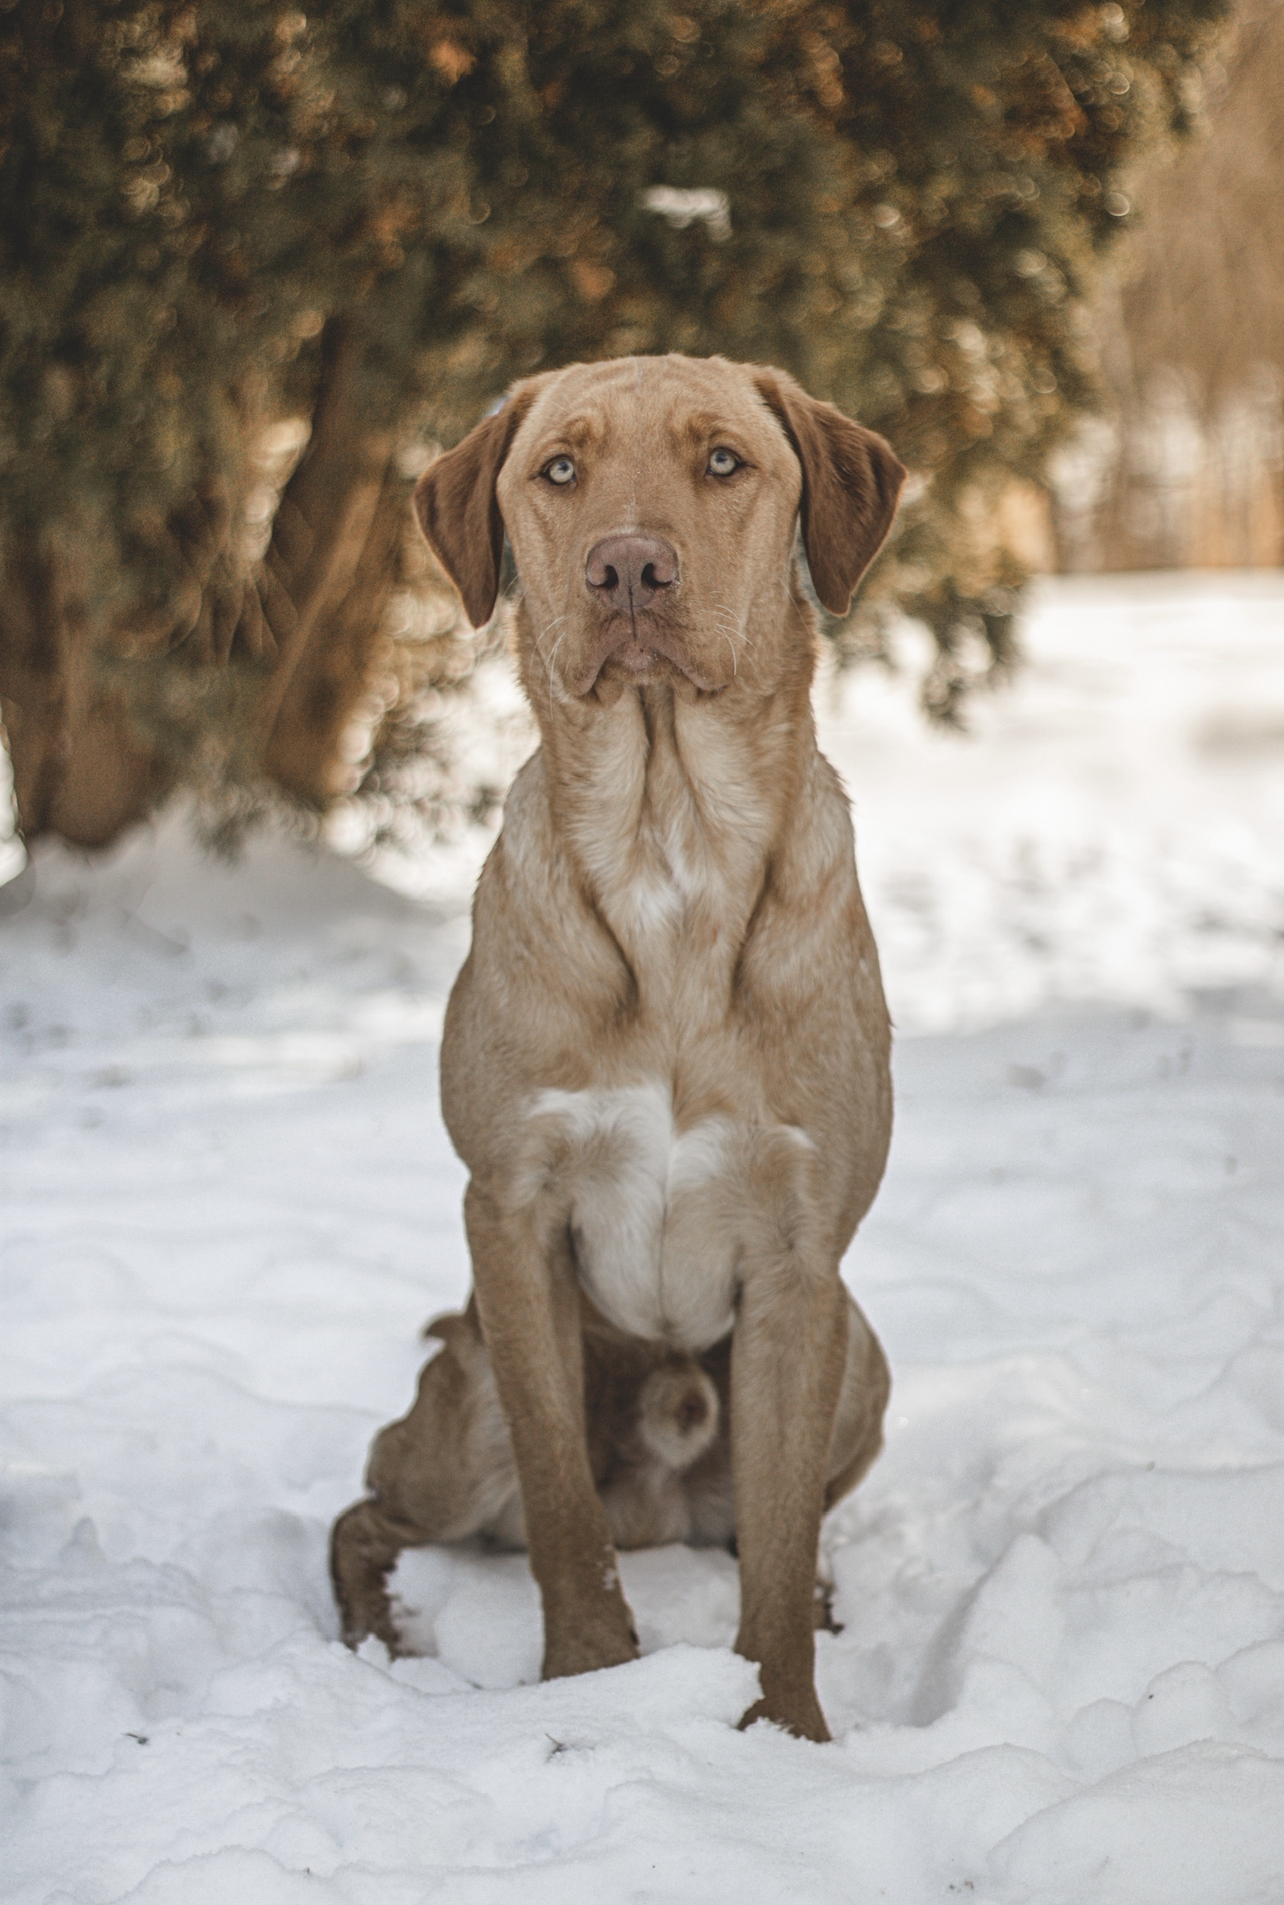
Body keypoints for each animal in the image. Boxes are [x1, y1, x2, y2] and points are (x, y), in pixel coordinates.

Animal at [327, 354, 899, 1744]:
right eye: (561, 469)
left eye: (724, 462)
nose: (628, 566)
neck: (668, 842)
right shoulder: (512, 1212)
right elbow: (561, 1511)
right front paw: (587, 1681)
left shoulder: (801, 1256)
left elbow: (784, 1537)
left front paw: (785, 1728)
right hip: (464, 1401)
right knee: (364, 1510)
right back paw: (377, 1635)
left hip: (862, 1352)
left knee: (778, 1528)